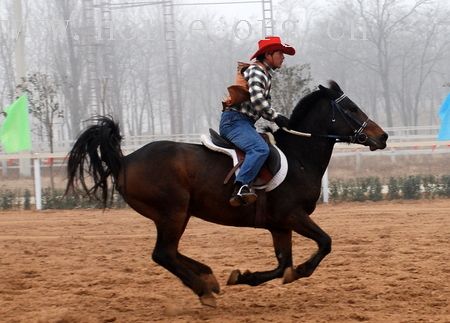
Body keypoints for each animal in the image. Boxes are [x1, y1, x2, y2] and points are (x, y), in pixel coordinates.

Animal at [66, 81, 386, 308]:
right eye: (352, 108)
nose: (381, 136)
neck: (298, 158)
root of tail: (126, 159)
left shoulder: (280, 225)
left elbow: (283, 264)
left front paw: (246, 277)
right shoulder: (293, 216)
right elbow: (324, 244)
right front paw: (299, 271)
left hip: (179, 215)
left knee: (170, 252)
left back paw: (207, 276)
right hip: (173, 212)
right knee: (163, 253)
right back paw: (204, 289)